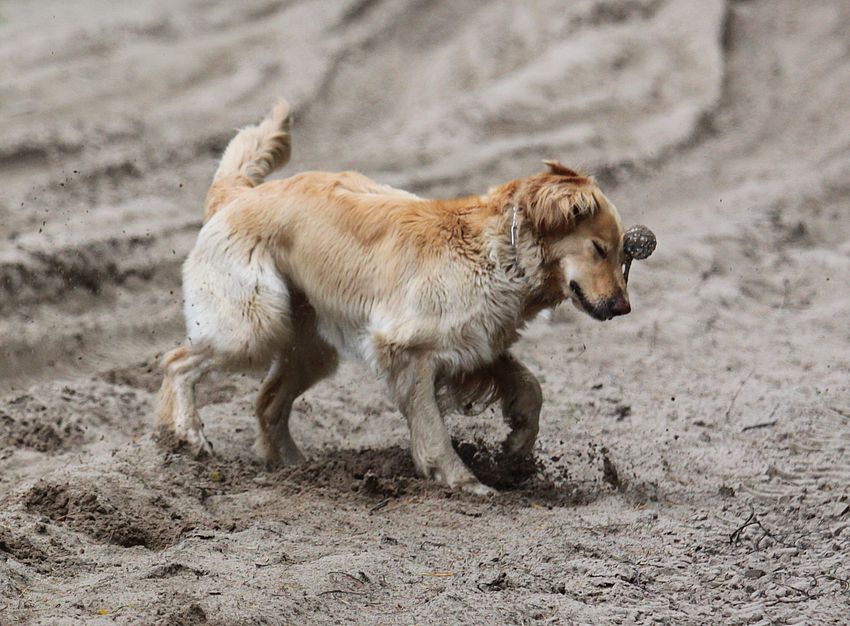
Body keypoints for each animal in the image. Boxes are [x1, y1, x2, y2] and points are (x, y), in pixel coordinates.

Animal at [158, 99, 632, 495]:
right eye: (599, 249)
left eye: (622, 251)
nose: (623, 307)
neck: (501, 252)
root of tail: (238, 194)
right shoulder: (406, 351)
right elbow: (432, 426)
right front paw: (462, 480)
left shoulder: (474, 346)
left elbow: (531, 387)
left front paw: (517, 446)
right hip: (253, 325)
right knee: (177, 362)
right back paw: (186, 433)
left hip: (308, 345)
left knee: (268, 402)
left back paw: (297, 467)